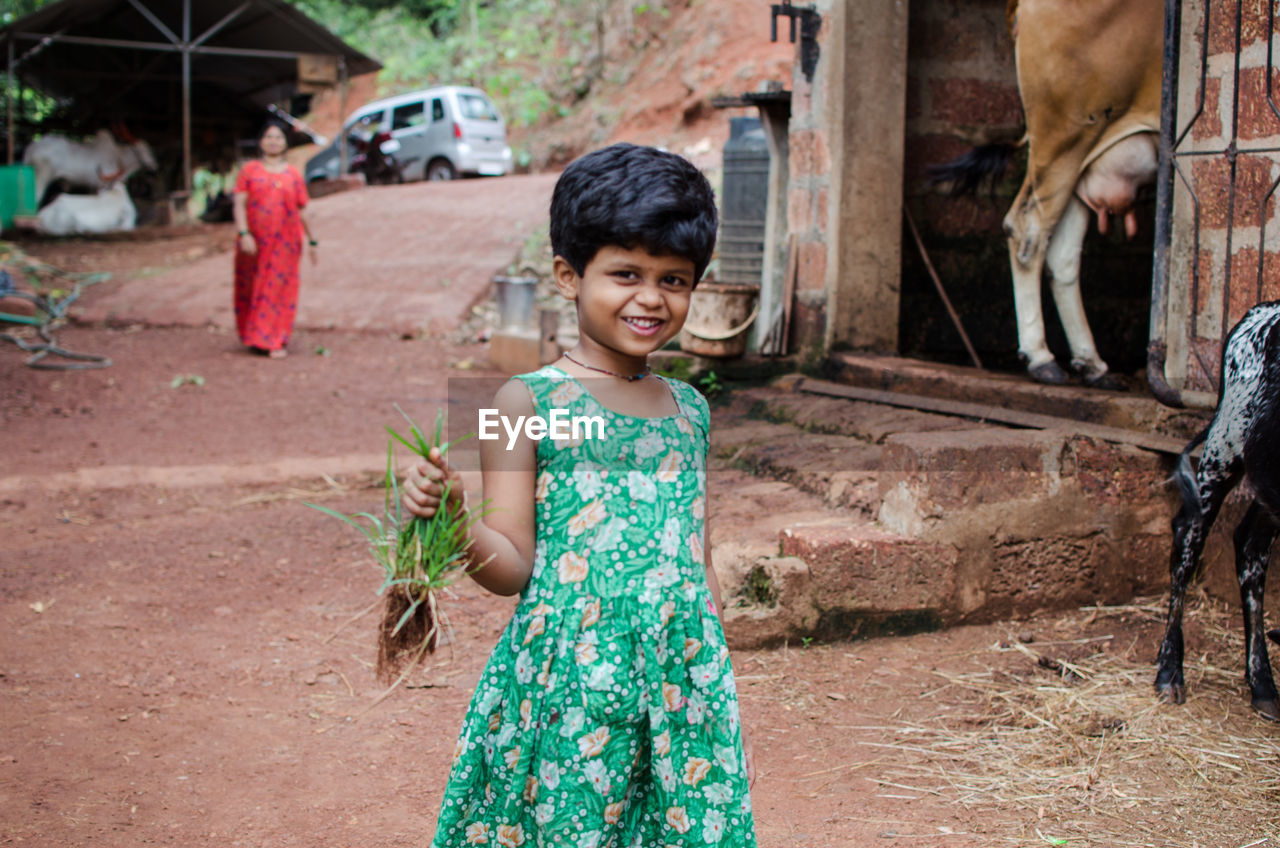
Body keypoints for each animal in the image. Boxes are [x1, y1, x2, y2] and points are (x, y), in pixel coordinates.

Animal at [936, 0, 1167, 386]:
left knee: (1062, 254)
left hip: (1081, 159)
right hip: (1065, 138)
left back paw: (1091, 363)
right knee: (1027, 228)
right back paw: (1040, 357)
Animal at [1152, 302, 1280, 722]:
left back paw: (1263, 686)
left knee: (1250, 547)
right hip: (1222, 451)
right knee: (1187, 538)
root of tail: (1256, 313)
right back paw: (1170, 673)